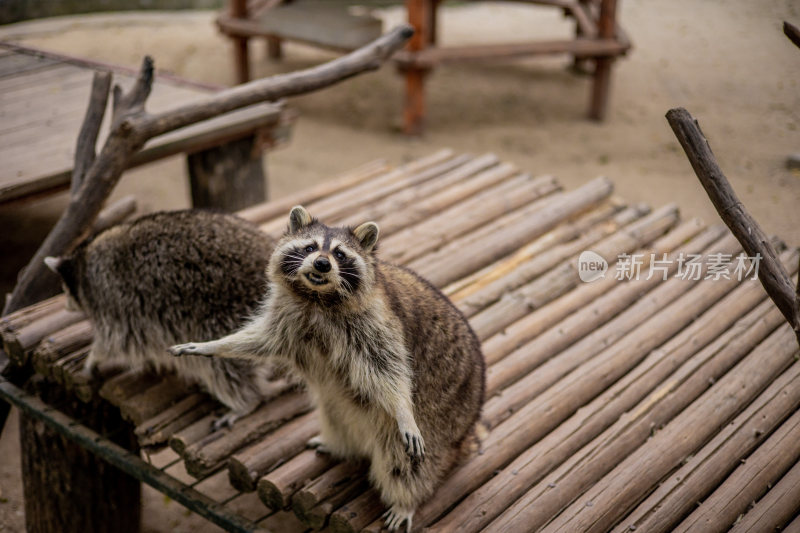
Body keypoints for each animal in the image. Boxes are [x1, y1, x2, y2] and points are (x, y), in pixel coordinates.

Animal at [44, 208, 282, 428]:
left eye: (64, 288)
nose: (66, 304)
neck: (84, 262)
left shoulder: (113, 302)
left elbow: (113, 343)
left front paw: (93, 358)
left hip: (225, 314)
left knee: (223, 366)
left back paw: (248, 401)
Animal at [170, 204, 484, 528]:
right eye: (310, 247)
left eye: (340, 254)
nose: (321, 264)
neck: (317, 297)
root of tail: (465, 428)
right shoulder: (287, 317)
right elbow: (260, 340)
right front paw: (215, 345)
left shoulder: (376, 321)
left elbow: (389, 369)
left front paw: (403, 410)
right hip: (344, 406)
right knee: (336, 415)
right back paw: (340, 444)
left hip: (440, 418)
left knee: (404, 465)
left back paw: (405, 500)